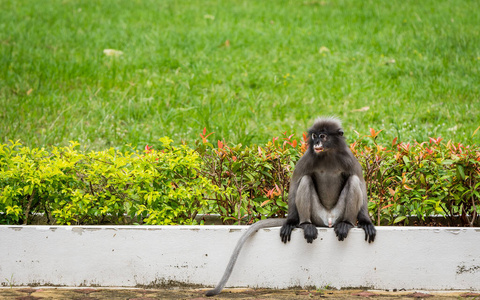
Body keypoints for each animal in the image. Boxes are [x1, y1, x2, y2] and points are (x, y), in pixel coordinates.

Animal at [204, 116, 376, 296]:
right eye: (314, 135)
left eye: (323, 136)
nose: (316, 143)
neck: (327, 154)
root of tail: (328, 220)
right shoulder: (307, 158)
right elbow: (295, 183)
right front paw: (290, 222)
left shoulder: (349, 158)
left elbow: (360, 182)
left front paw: (365, 222)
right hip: (317, 215)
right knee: (306, 180)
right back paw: (305, 224)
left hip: (338, 213)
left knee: (353, 181)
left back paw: (346, 224)